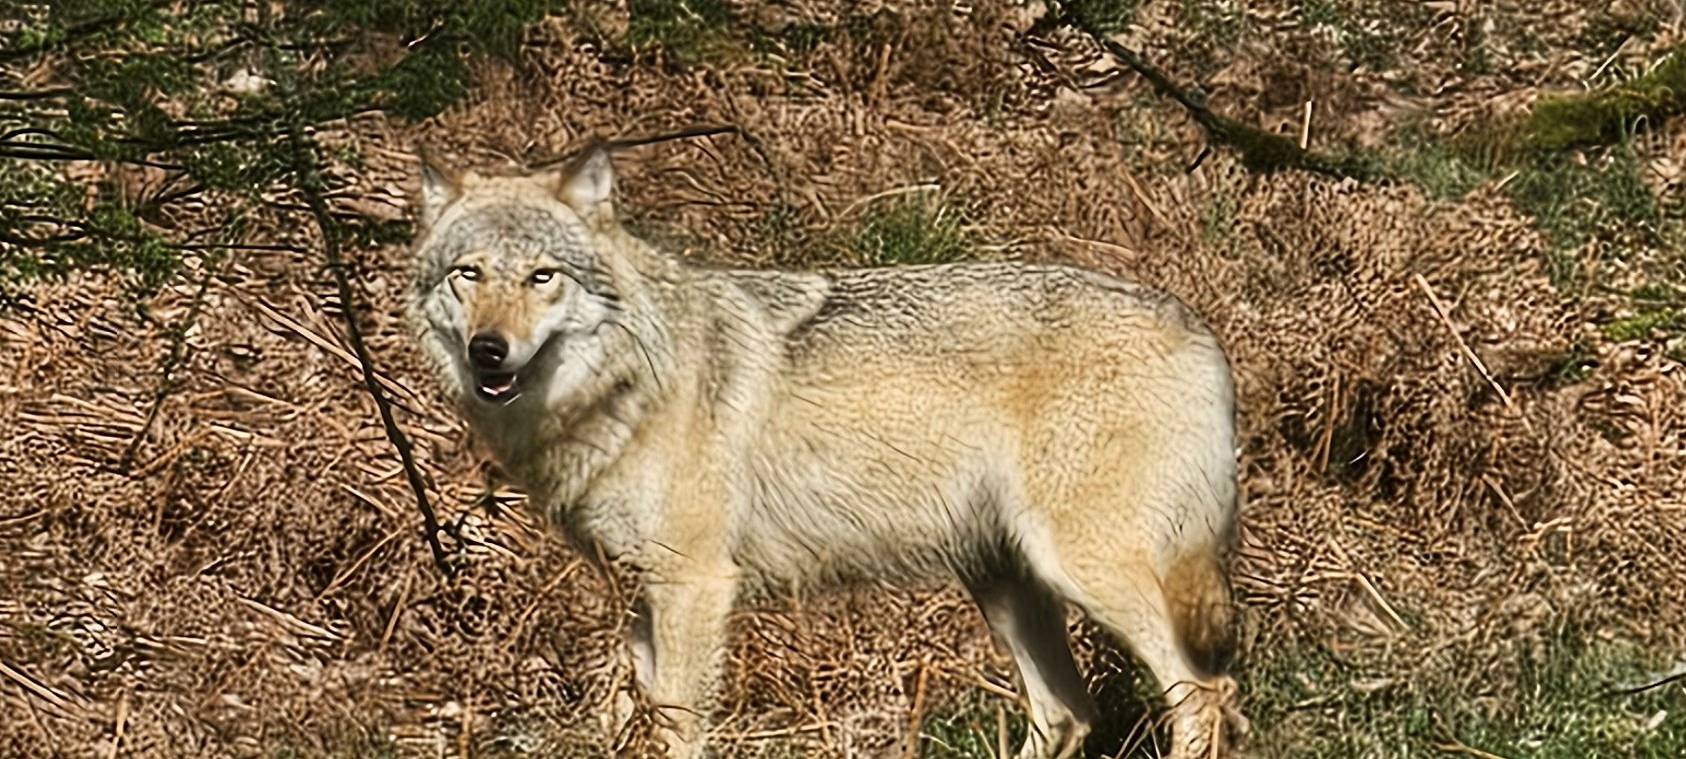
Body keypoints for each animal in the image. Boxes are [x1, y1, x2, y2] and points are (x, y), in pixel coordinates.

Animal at [407, 146, 1246, 759]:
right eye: (469, 274)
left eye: (541, 276)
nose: (488, 351)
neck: (623, 386)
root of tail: (1199, 330)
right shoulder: (643, 594)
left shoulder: (694, 584)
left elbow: (679, 726)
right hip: (1006, 582)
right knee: (1070, 710)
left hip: (1085, 569)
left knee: (1204, 693)